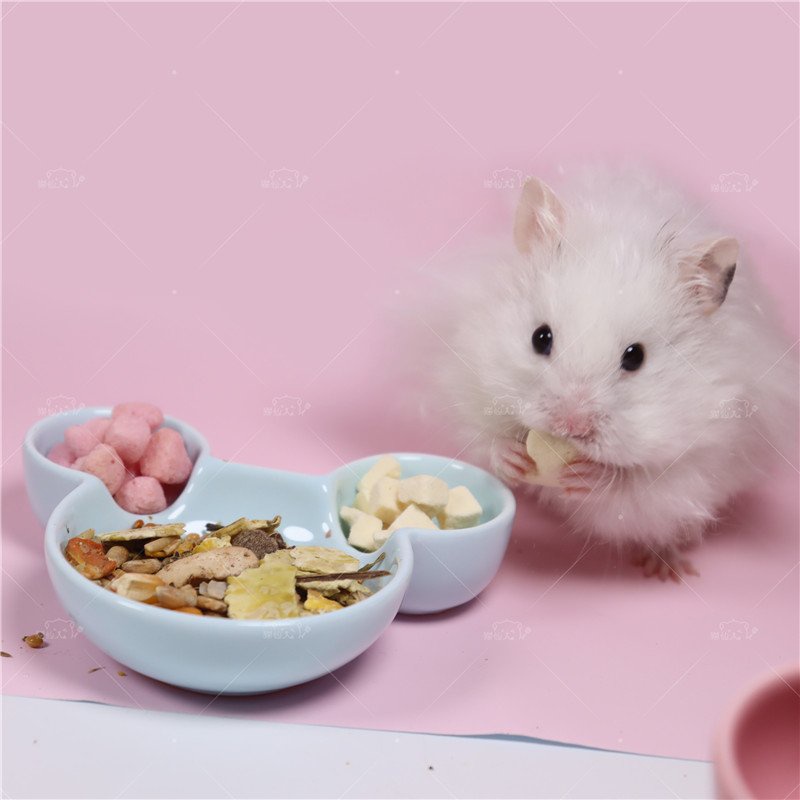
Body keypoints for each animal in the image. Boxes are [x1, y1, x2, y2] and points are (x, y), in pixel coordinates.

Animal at [435, 166, 797, 580]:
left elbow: (635, 487)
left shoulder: (702, 462)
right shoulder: (464, 378)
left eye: (635, 357)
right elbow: (482, 434)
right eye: (540, 337)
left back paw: (664, 569)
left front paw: (588, 477)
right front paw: (512, 456)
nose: (570, 426)